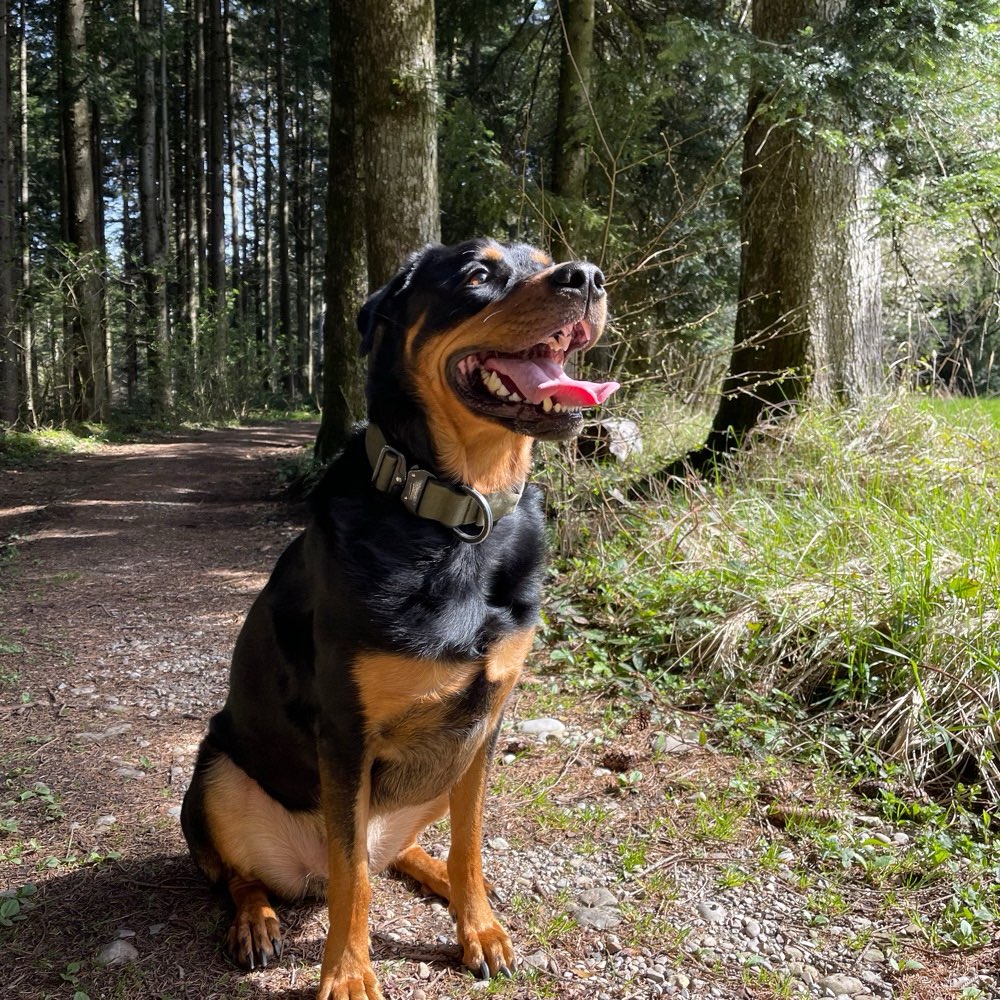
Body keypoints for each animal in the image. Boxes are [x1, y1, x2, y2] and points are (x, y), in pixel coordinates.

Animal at [181, 236, 616, 1000]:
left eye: (545, 260)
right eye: (477, 274)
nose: (588, 278)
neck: (458, 517)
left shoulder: (483, 724)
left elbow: (469, 844)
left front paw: (478, 926)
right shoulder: (346, 734)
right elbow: (353, 877)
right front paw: (349, 973)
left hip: (434, 775)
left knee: (402, 851)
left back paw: (437, 879)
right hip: (214, 773)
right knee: (246, 874)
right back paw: (257, 920)